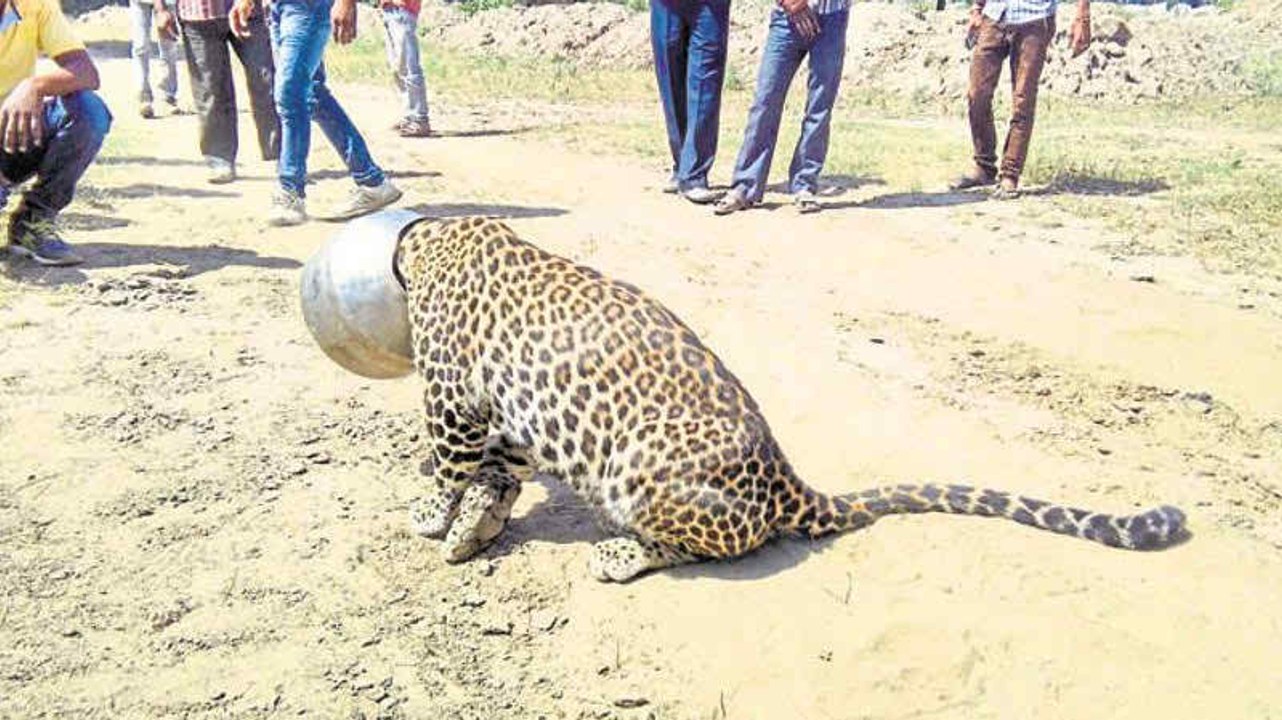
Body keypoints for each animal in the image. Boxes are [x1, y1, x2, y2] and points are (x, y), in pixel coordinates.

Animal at [393, 216, 1187, 583]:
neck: (440, 237)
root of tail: (786, 480)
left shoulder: (451, 397)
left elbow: (449, 464)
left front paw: (431, 515)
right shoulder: (505, 413)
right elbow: (496, 472)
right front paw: (473, 526)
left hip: (643, 470)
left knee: (704, 547)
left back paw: (620, 554)